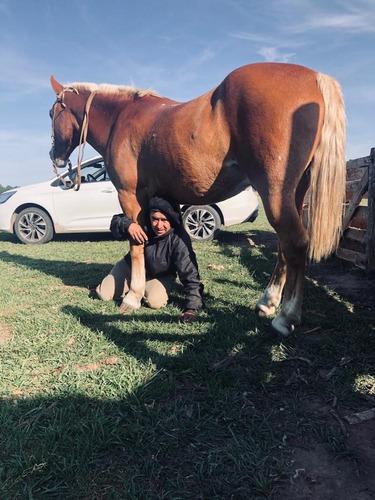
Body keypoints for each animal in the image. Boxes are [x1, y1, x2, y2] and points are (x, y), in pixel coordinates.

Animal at [49, 63, 346, 336]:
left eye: (52, 113)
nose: (55, 156)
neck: (122, 117)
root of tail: (315, 77)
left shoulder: (129, 196)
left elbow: (136, 244)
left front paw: (132, 297)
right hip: (294, 194)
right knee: (285, 246)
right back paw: (267, 302)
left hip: (274, 193)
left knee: (295, 243)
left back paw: (286, 317)